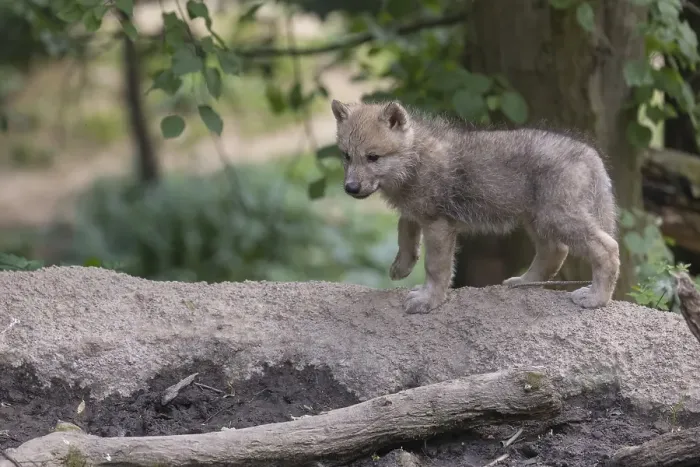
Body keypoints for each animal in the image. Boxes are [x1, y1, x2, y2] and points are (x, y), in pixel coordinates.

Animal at [331, 99, 620, 315]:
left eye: (373, 157)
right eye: (346, 156)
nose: (350, 188)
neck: (413, 160)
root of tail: (590, 154)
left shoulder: (438, 224)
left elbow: (435, 267)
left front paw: (428, 300)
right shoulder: (416, 212)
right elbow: (405, 236)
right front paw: (401, 268)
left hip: (557, 217)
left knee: (607, 248)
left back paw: (596, 298)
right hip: (536, 218)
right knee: (554, 252)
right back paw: (524, 284)